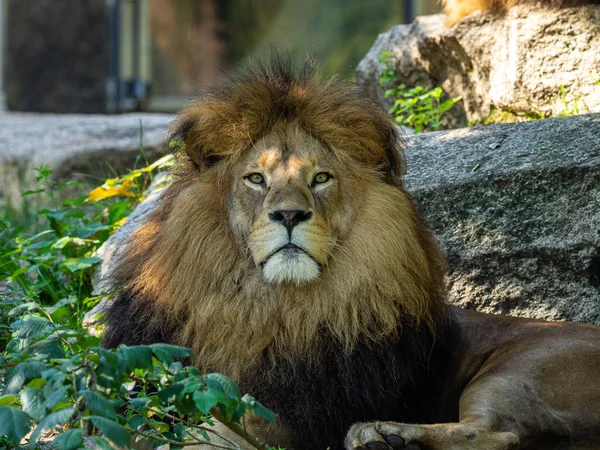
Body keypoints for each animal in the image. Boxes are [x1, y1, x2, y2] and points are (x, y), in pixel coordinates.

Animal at [103, 57, 600, 450]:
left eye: (321, 178)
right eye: (256, 179)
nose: (289, 214)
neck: (269, 309)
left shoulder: (301, 414)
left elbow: (216, 428)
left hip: (519, 369)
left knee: (496, 433)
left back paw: (383, 435)